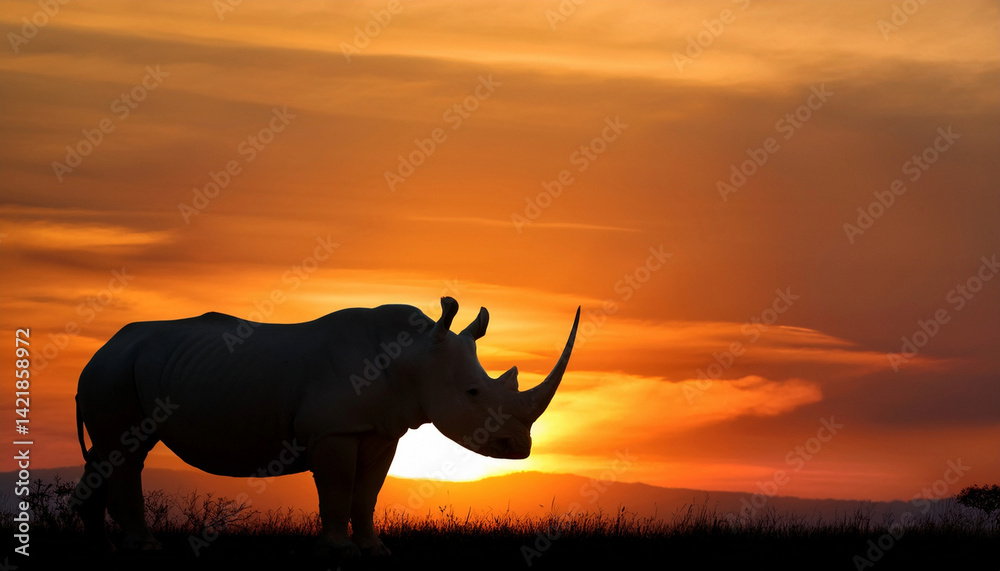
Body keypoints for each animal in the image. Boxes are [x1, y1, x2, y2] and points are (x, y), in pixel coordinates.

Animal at [72, 297, 579, 557]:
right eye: (474, 393)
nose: (519, 446)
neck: (414, 357)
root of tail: (101, 348)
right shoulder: (335, 430)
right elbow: (337, 487)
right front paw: (338, 552)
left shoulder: (381, 430)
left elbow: (367, 491)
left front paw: (375, 551)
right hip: (116, 370)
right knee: (125, 452)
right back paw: (144, 549)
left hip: (126, 368)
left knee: (112, 452)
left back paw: (101, 549)